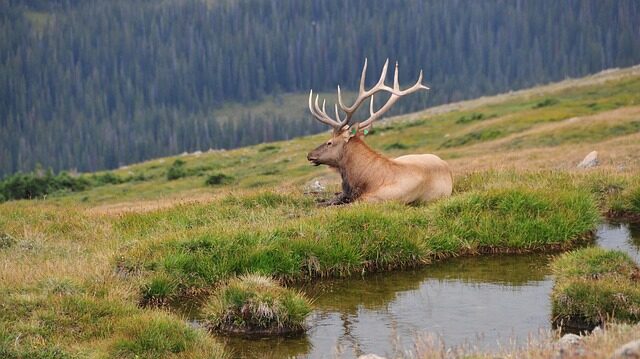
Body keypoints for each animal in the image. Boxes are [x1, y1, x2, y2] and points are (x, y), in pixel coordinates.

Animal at [306, 59, 452, 205]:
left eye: (329, 142)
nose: (309, 154)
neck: (364, 179)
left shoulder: (371, 200)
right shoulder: (345, 194)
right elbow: (324, 202)